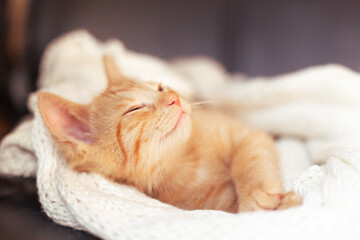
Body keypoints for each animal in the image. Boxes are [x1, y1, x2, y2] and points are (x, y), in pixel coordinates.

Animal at [37, 55, 300, 213]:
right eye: (134, 109)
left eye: (161, 87)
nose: (174, 98)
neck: (187, 158)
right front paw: (284, 204)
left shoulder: (242, 132)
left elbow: (251, 156)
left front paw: (256, 191)